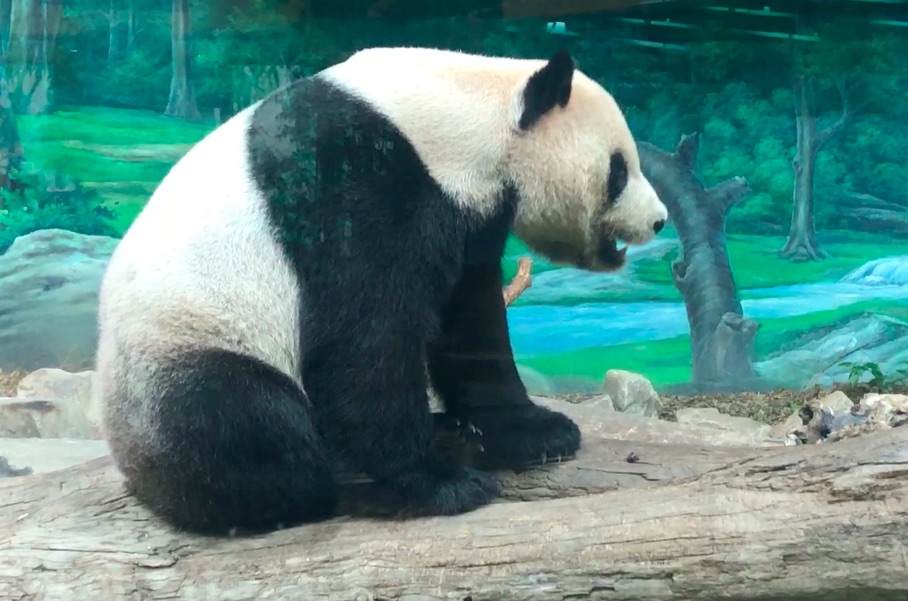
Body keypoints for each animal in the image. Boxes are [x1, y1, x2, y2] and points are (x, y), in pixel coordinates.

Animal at [96, 46, 668, 535]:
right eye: (619, 169)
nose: (660, 220)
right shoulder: (356, 184)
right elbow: (364, 342)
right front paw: (440, 485)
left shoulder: (467, 215)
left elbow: (470, 326)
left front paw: (537, 431)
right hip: (184, 348)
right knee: (242, 420)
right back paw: (341, 485)